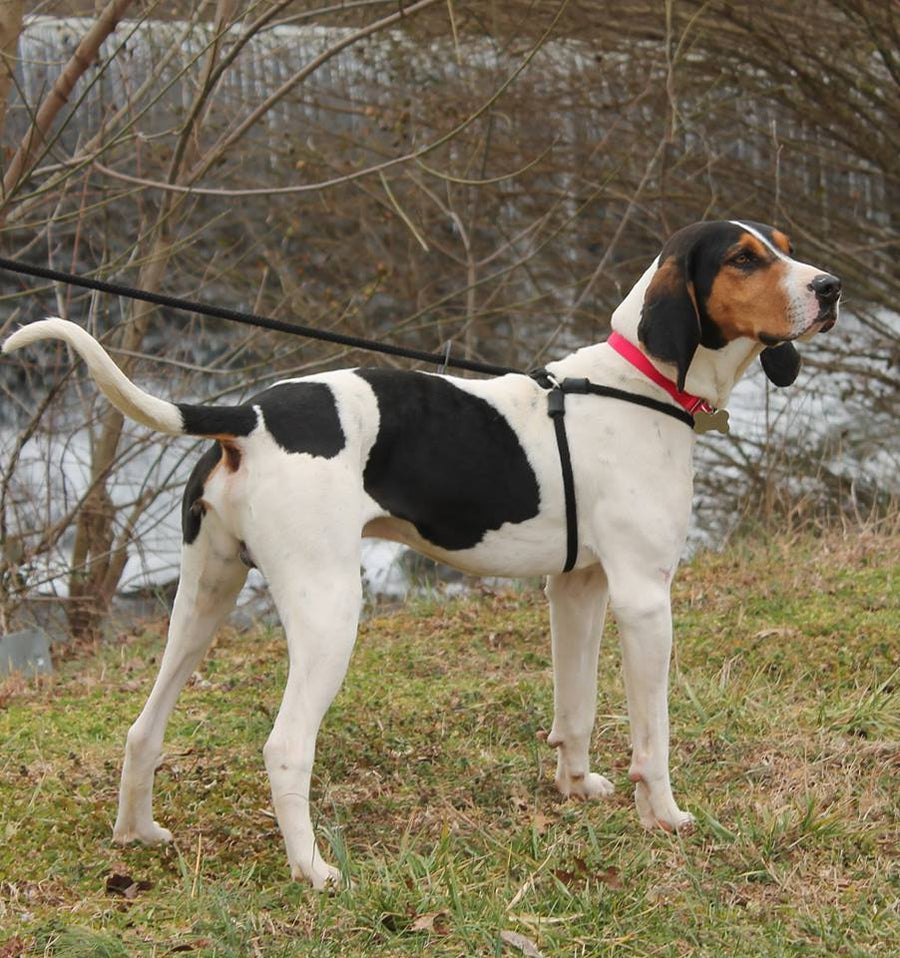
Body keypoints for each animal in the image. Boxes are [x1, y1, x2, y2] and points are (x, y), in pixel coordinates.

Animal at [3, 221, 840, 888]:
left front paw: (574, 788)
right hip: (329, 614)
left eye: (782, 248)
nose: (830, 288)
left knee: (143, 729)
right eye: (743, 258)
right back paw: (312, 870)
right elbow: (652, 738)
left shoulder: (579, 590)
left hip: (201, 602)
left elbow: (575, 708)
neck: (635, 386)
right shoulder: (643, 600)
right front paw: (663, 816)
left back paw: (136, 834)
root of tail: (248, 414)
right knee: (285, 747)